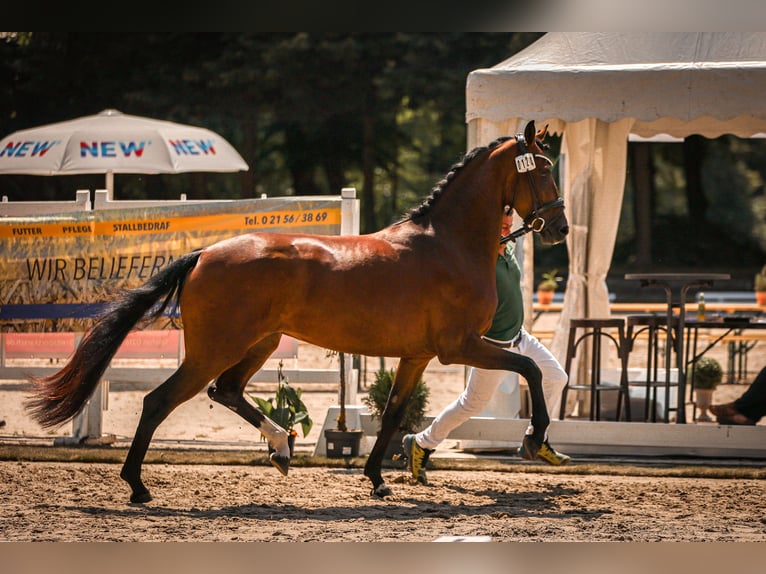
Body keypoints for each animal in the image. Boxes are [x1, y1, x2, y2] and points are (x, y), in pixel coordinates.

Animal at [25, 119, 568, 502]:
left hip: (259, 344)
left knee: (226, 391)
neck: (447, 245)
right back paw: (138, 486)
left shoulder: (418, 356)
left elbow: (394, 412)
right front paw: (536, 440)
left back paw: (282, 446)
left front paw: (377, 479)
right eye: (543, 169)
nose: (560, 228)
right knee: (161, 401)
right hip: (215, 349)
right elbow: (529, 369)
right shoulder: (462, 347)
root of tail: (204, 254)